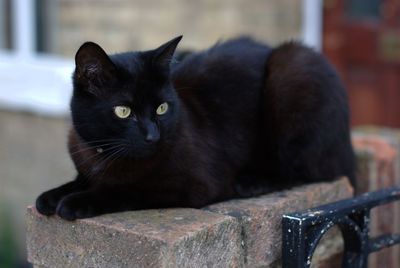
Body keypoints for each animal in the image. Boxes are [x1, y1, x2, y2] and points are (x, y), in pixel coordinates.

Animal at [34, 35, 354, 220]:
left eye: (161, 108)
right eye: (123, 111)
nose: (153, 135)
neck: (104, 157)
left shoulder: (194, 184)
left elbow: (127, 190)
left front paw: (77, 202)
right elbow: (79, 180)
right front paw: (50, 196)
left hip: (293, 68)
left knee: (308, 169)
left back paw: (252, 181)